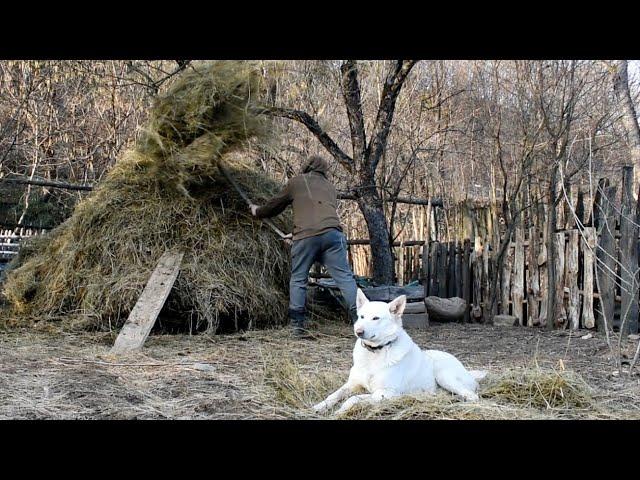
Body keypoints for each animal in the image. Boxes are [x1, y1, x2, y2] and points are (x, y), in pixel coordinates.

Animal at [312, 288, 488, 416]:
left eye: (376, 318)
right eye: (361, 317)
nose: (358, 331)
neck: (374, 353)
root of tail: (468, 372)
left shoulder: (385, 393)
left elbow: (353, 399)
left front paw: (340, 411)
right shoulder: (352, 384)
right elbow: (333, 395)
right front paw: (318, 406)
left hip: (444, 375)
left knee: (471, 395)